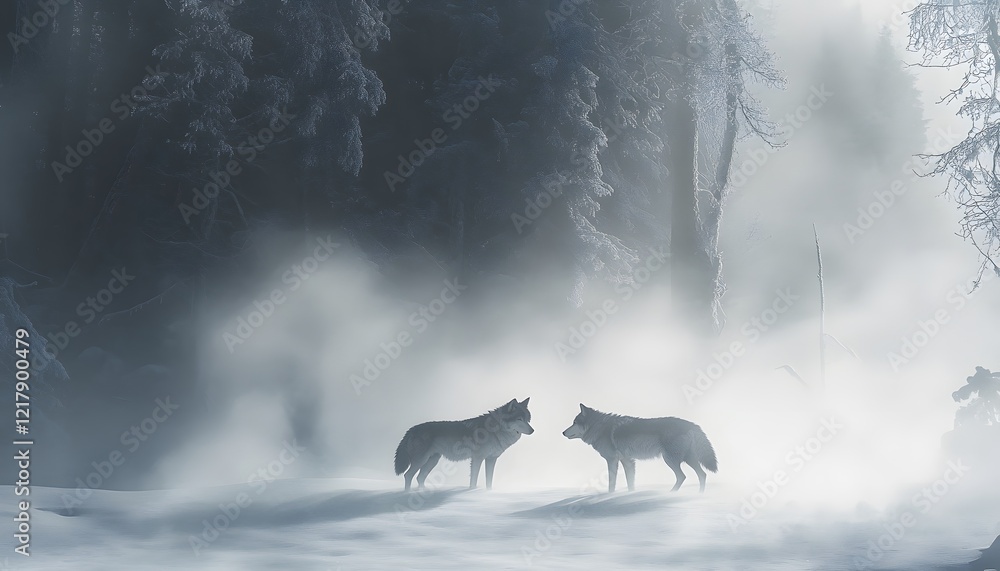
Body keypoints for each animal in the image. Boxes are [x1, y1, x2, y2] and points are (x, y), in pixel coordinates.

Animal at [394, 398, 533, 491]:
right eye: (519, 419)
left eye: (528, 420)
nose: (532, 430)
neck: (495, 430)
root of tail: (412, 429)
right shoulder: (477, 458)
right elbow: (474, 479)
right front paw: (472, 492)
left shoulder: (491, 459)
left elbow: (489, 480)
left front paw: (488, 493)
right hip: (421, 461)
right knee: (408, 475)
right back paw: (407, 494)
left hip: (432, 461)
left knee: (420, 478)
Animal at [563, 404, 718, 493]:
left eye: (574, 422)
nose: (563, 432)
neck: (599, 427)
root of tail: (692, 424)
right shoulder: (628, 461)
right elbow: (630, 482)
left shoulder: (612, 460)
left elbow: (612, 483)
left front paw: (610, 496)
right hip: (687, 459)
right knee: (702, 475)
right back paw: (699, 495)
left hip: (670, 460)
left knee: (683, 476)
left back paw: (671, 494)